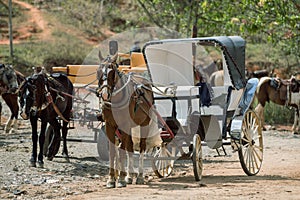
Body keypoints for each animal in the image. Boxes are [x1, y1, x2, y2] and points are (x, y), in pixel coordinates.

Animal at [96, 52, 154, 188]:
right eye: (98, 71)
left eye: (112, 72)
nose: (105, 95)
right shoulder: (110, 125)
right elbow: (113, 151)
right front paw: (112, 179)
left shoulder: (124, 125)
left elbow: (122, 151)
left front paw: (121, 179)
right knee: (130, 147)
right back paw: (130, 176)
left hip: (144, 124)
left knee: (141, 147)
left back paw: (139, 176)